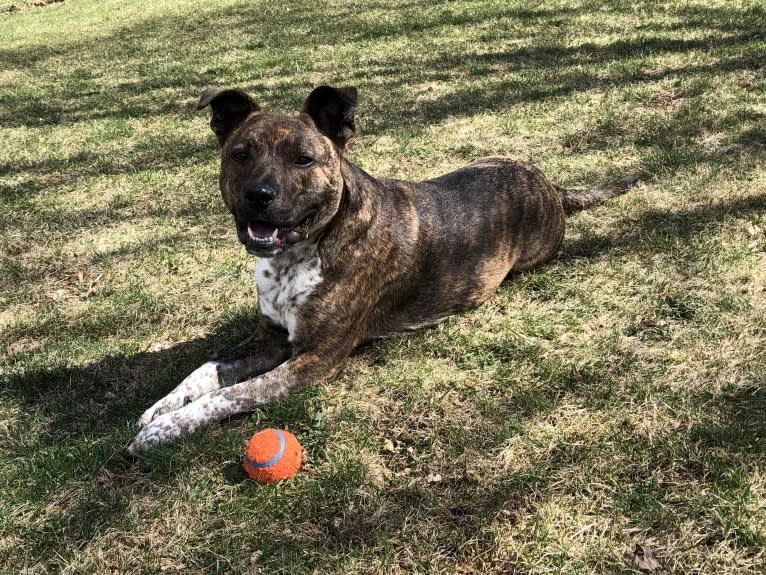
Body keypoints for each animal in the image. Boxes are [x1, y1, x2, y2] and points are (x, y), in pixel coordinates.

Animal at [126, 85, 640, 454]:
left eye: (303, 159)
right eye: (240, 154)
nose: (259, 195)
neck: (305, 251)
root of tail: (550, 183)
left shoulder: (314, 359)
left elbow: (230, 395)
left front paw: (164, 430)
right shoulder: (269, 339)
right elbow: (206, 368)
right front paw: (161, 407)